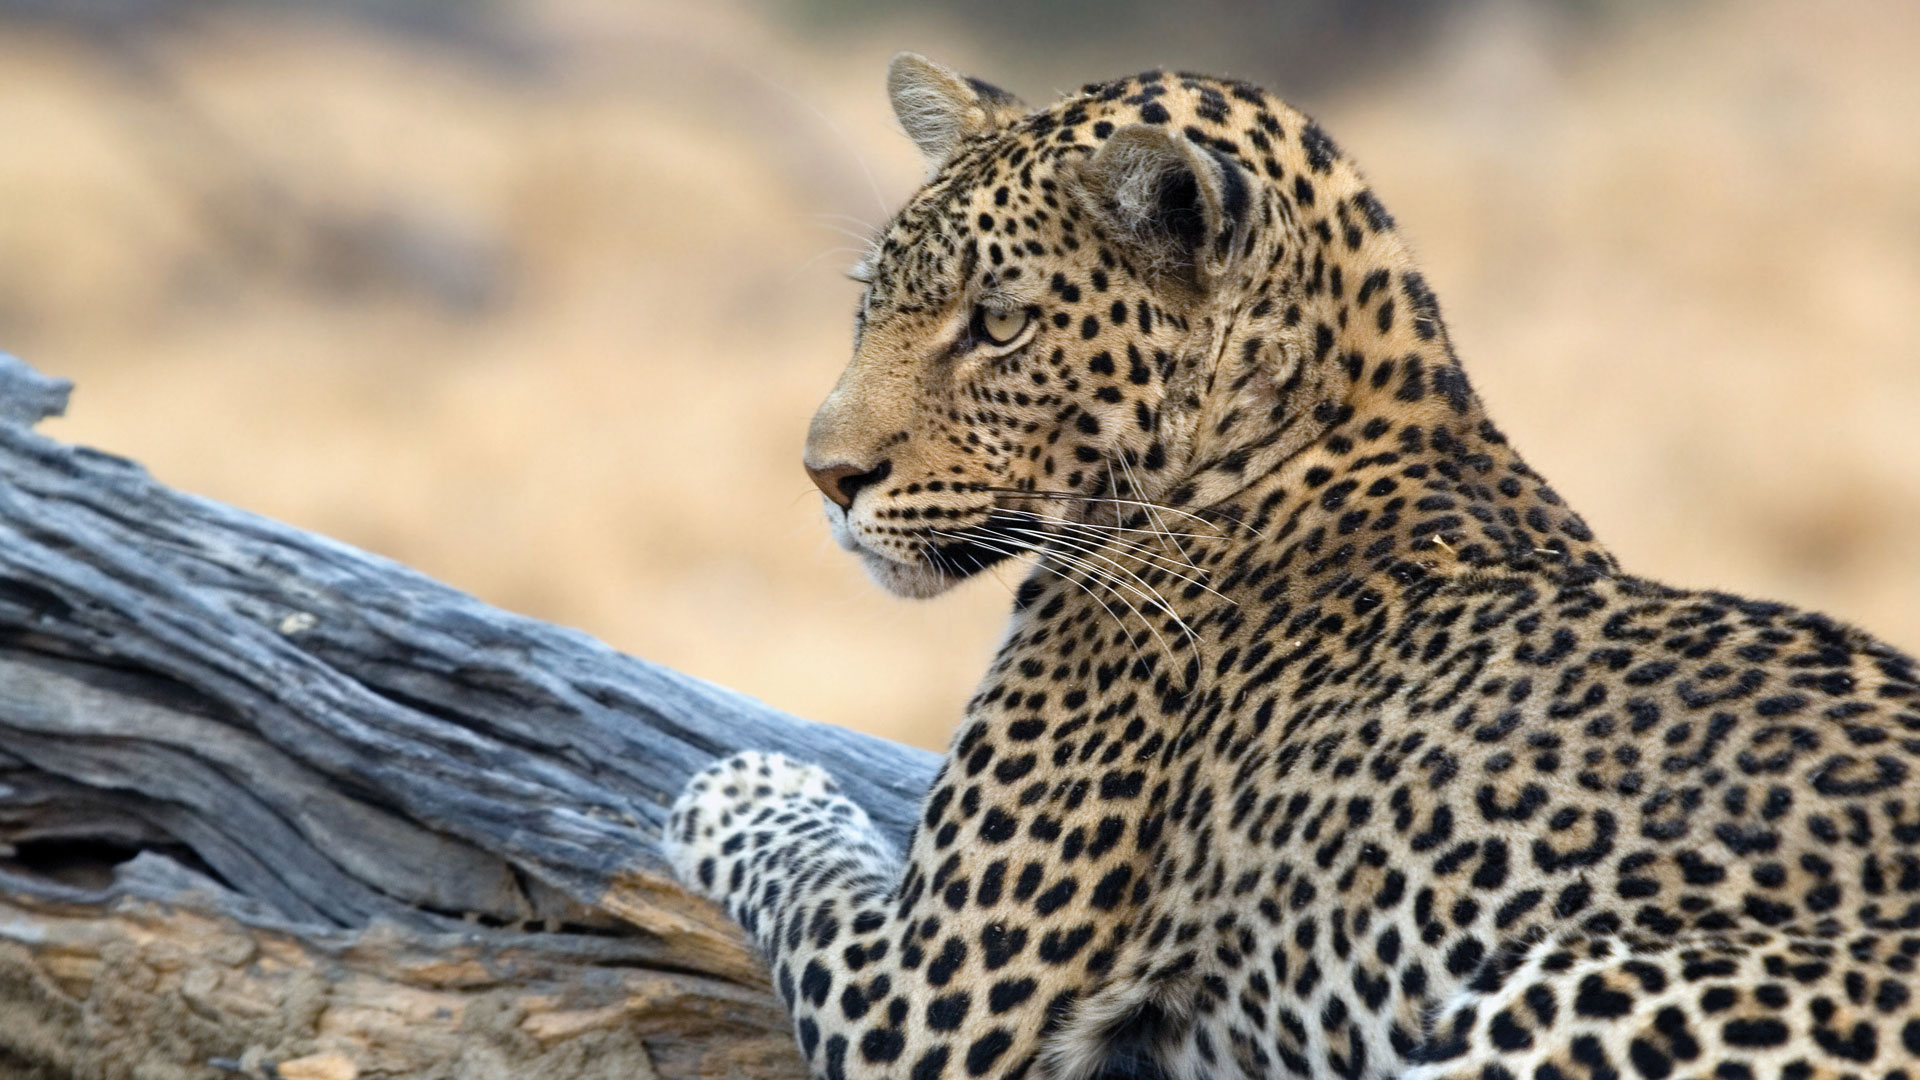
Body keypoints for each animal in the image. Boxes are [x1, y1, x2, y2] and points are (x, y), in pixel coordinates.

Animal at [665, 53, 1920, 1080]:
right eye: (869, 304)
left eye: (1000, 324)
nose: (826, 477)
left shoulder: (926, 994)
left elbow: (805, 858)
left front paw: (745, 783)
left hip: (1566, 995)